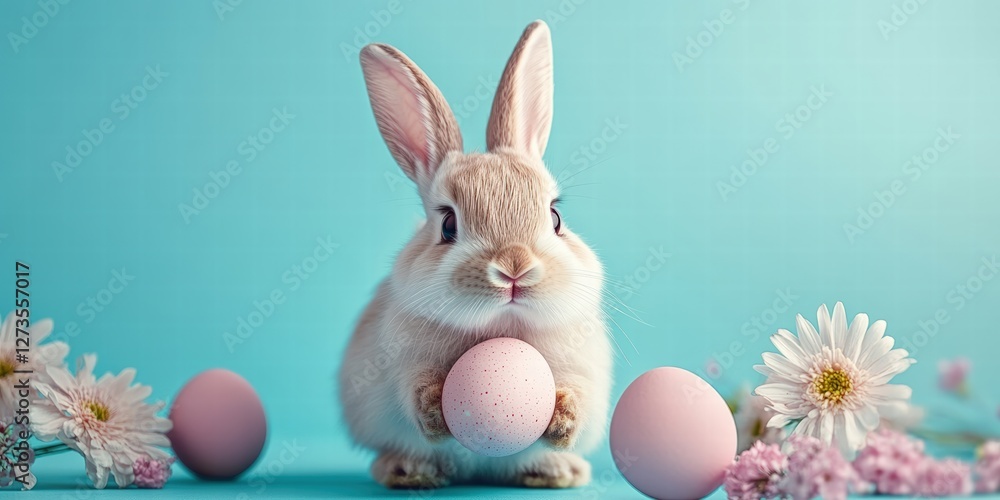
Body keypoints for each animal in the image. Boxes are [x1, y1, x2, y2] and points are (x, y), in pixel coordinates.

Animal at [337, 20, 613, 489]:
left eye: (556, 217)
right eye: (448, 224)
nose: (515, 268)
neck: (501, 328)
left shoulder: (582, 365)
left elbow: (577, 392)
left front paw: (563, 421)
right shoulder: (402, 365)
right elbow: (414, 390)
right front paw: (434, 411)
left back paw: (558, 471)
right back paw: (406, 471)